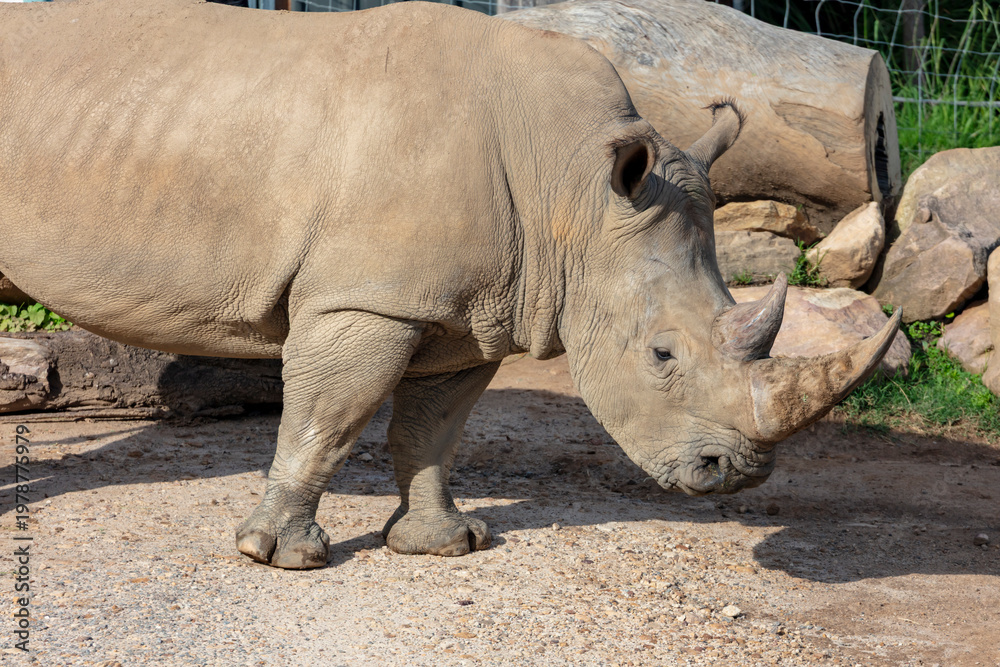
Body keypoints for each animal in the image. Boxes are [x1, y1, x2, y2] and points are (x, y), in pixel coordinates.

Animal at [0, 0, 898, 569]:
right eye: (662, 354)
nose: (734, 474)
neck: (573, 189)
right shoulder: (367, 297)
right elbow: (328, 418)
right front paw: (279, 555)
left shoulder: (473, 313)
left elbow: (432, 428)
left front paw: (442, 544)